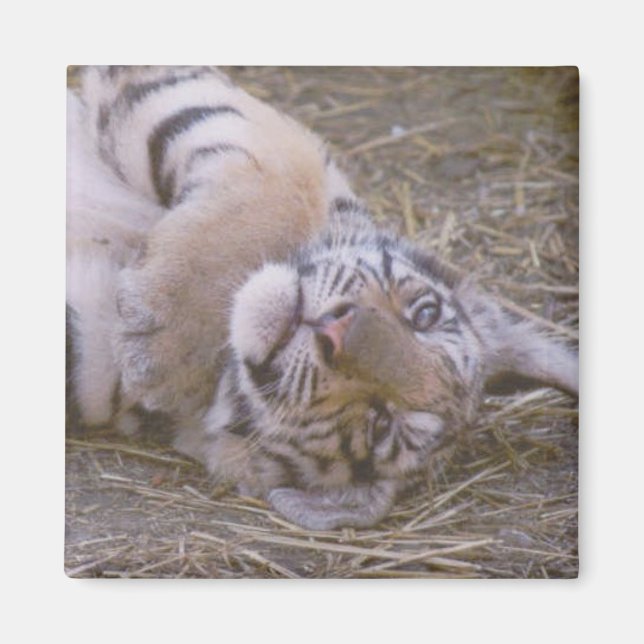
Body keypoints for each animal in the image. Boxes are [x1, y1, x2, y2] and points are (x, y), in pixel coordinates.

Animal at [66, 66, 578, 530]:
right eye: (425, 314)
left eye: (379, 425)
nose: (338, 328)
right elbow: (285, 186)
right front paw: (165, 337)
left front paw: (156, 351)